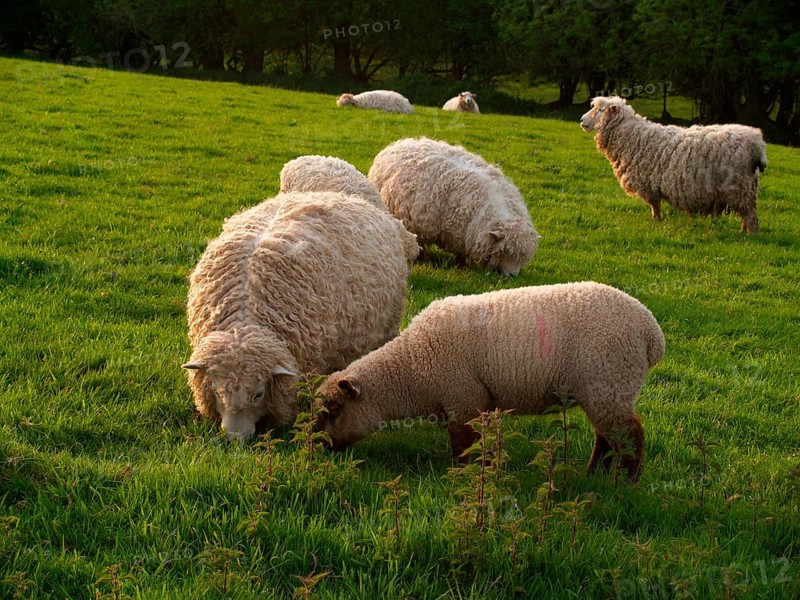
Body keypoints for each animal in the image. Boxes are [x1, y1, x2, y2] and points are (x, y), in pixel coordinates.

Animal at [316, 282, 665, 483]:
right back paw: (594, 474)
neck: (412, 366)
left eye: (332, 409)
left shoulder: (462, 397)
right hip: (604, 389)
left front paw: (463, 475)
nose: (317, 446)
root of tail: (651, 332)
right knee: (606, 436)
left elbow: (463, 444)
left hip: (609, 380)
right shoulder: (471, 401)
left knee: (629, 435)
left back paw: (626, 482)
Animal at [368, 137, 539, 277]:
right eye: (505, 250)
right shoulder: (457, 233)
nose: (513, 276)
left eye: (523, 256)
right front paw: (461, 267)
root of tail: (401, 142)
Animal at [580, 96, 767, 233]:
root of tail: (757, 143)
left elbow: (655, 205)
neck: (632, 136)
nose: (581, 120)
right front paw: (657, 221)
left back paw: (750, 235)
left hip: (738, 187)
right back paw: (743, 231)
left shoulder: (648, 184)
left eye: (600, 110)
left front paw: (656, 221)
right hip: (746, 188)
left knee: (750, 216)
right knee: (747, 214)